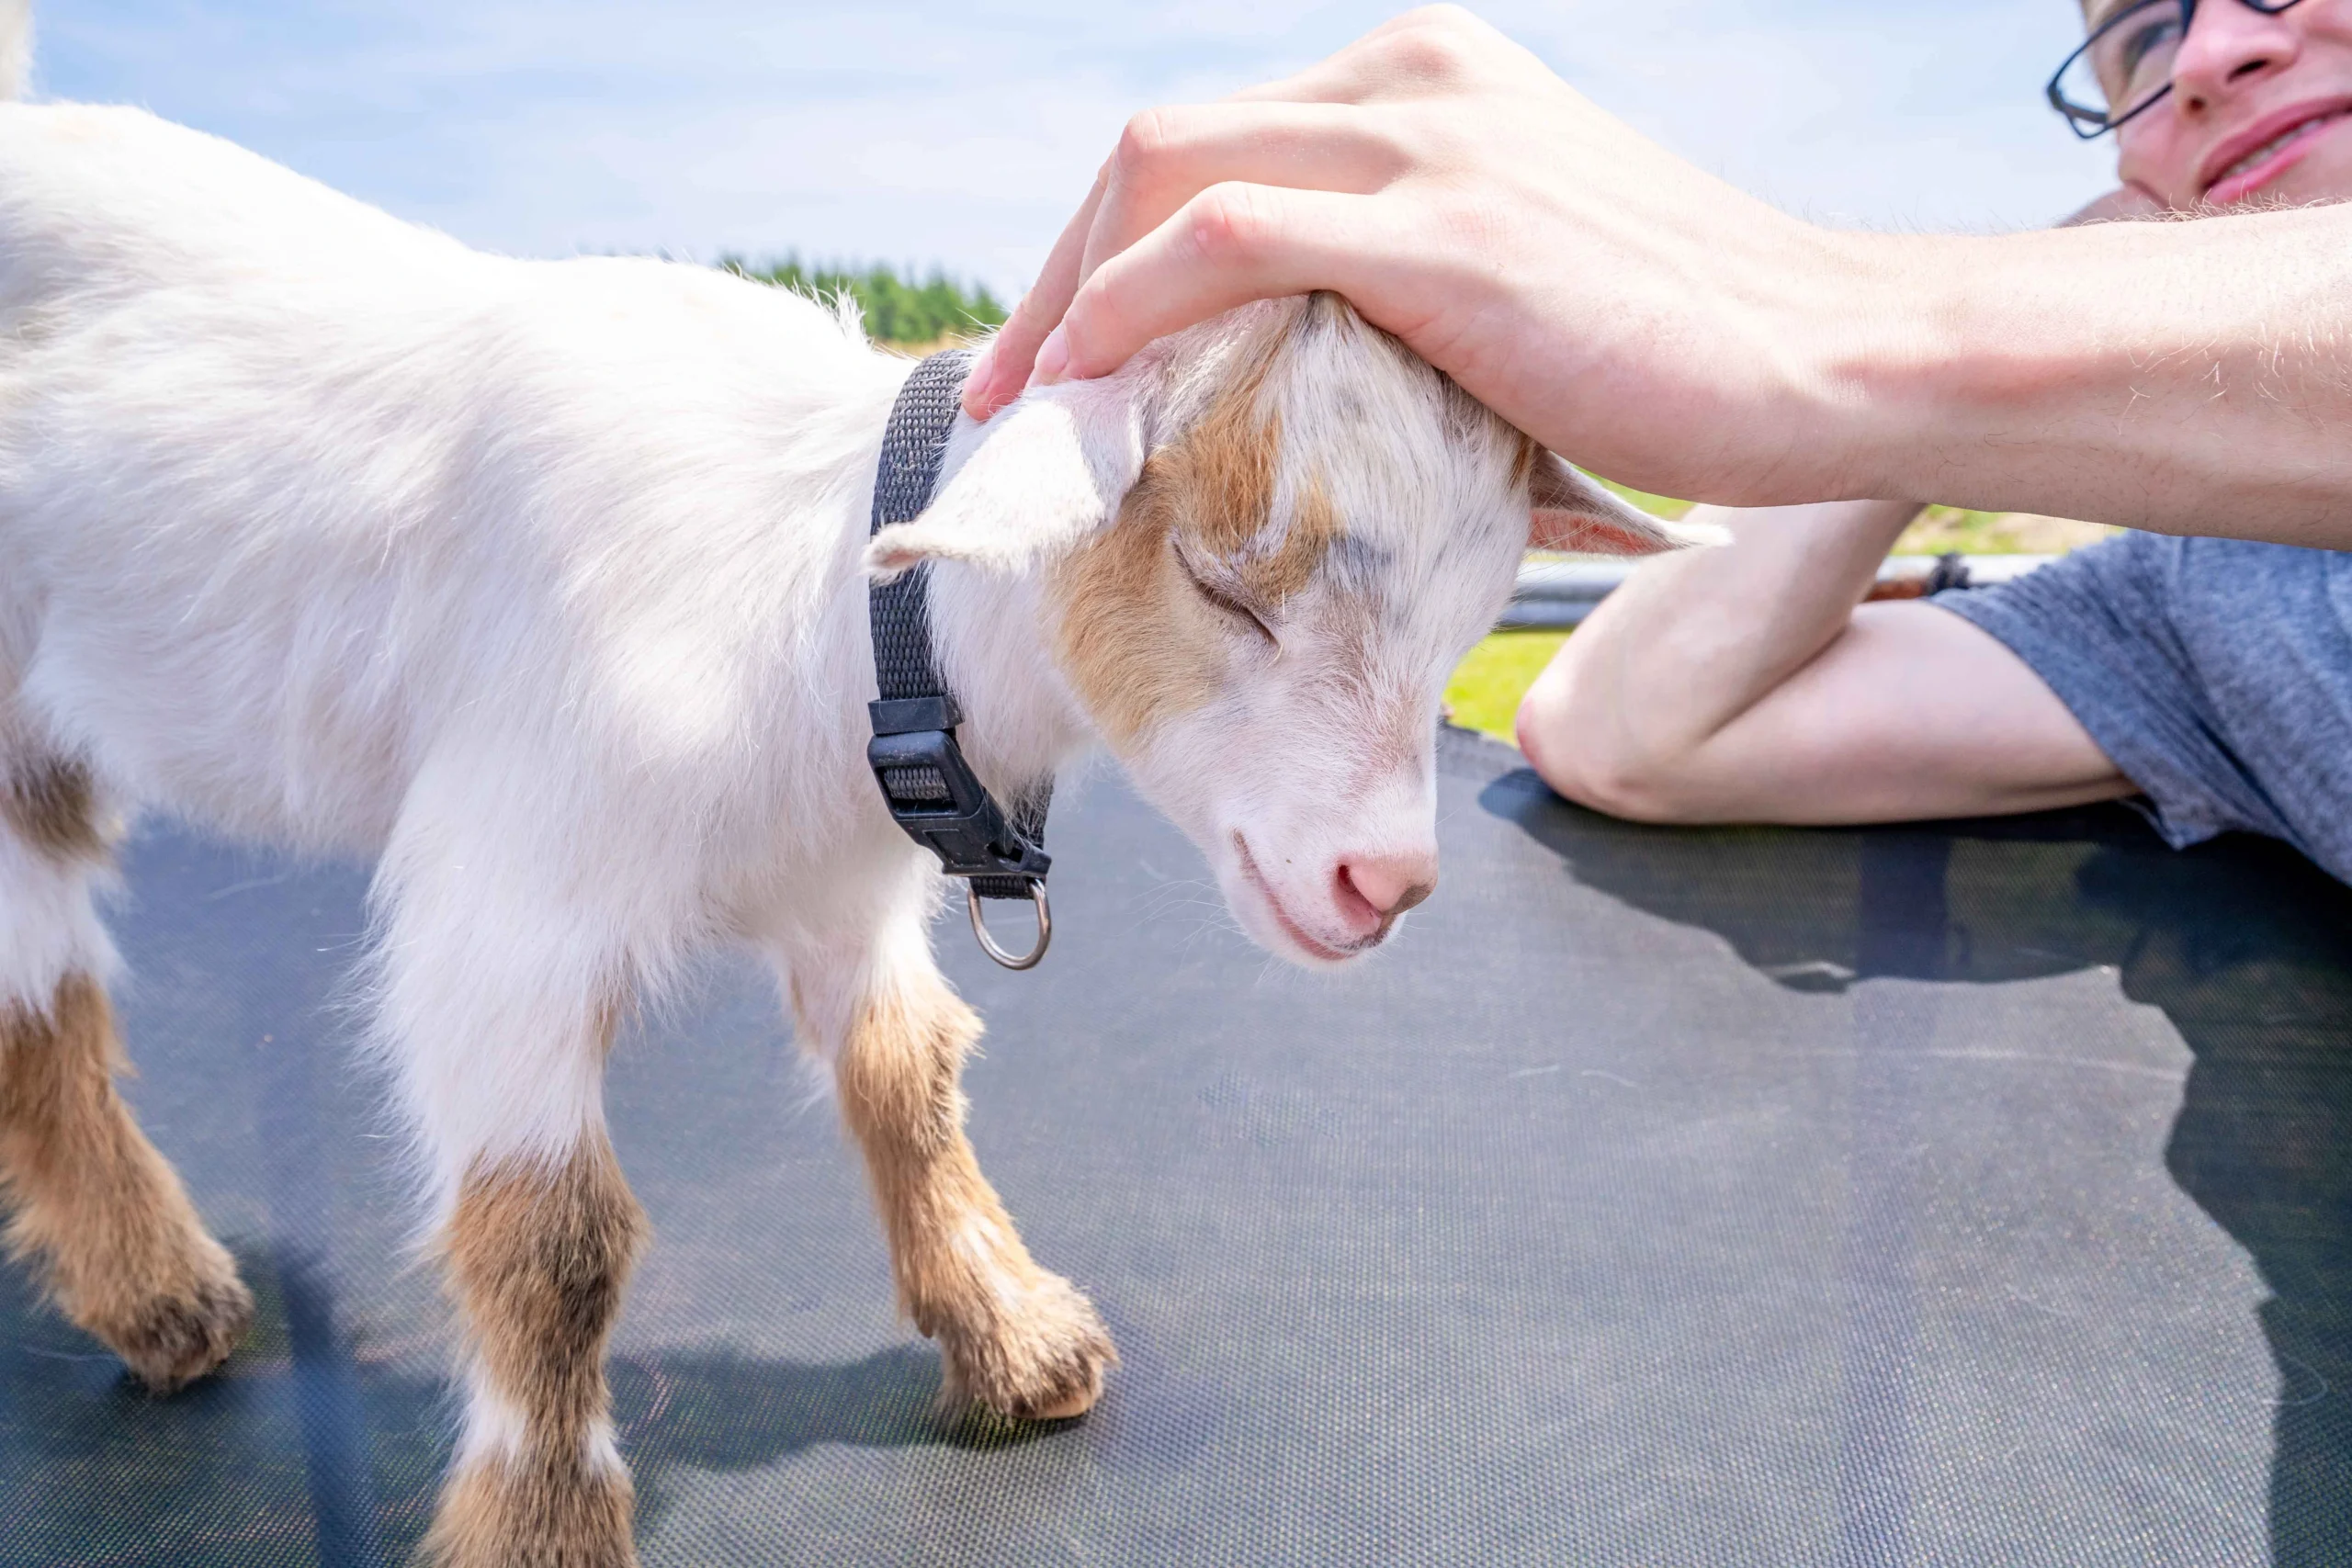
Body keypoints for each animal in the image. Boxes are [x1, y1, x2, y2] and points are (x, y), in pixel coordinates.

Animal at [0, 45, 1705, 1568]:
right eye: (1222, 579)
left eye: (1470, 623)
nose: (1383, 879)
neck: (838, 597)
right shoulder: (510, 903)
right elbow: (558, 1236)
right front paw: (544, 1522)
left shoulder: (839, 882)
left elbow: (908, 1076)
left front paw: (1015, 1334)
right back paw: (167, 1292)